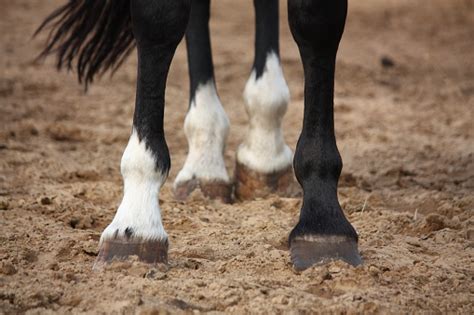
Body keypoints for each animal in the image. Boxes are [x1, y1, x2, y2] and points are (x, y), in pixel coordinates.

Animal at [37, 0, 362, 272]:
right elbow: (159, 19)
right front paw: (135, 221)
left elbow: (317, 20)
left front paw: (323, 221)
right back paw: (207, 160)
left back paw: (264, 147)